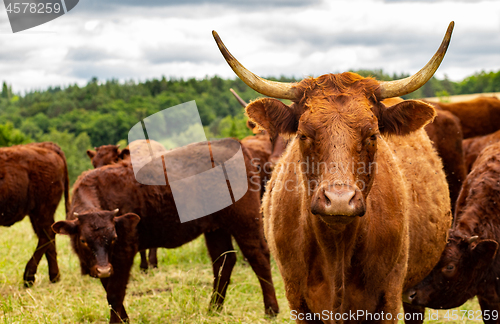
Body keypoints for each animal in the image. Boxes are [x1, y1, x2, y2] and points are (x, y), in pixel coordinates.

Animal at [0, 142, 69, 286]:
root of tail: (44, 145)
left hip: (42, 209)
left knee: (46, 235)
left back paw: (29, 277)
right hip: (37, 213)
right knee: (49, 236)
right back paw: (55, 277)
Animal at [52, 137, 280, 324]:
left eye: (114, 237)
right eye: (84, 240)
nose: (103, 269)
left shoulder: (124, 253)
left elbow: (115, 293)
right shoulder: (102, 262)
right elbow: (108, 291)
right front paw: (124, 318)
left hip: (245, 221)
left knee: (258, 256)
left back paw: (271, 309)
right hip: (216, 228)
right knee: (223, 261)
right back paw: (214, 308)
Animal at [213, 21, 456, 322]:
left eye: (373, 134)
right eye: (303, 134)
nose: (339, 200)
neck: (337, 250)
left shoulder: (389, 296)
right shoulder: (296, 298)